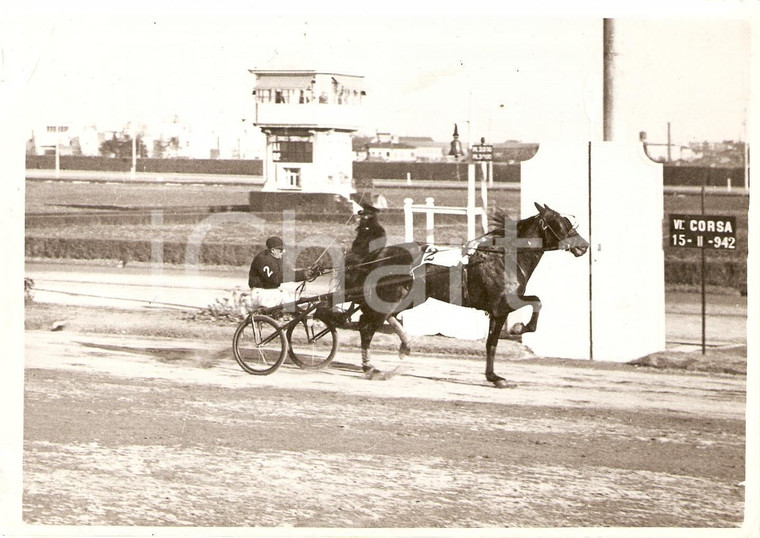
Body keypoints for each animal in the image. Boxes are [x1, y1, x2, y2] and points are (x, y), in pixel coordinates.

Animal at [336, 201, 588, 386]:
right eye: (561, 224)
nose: (584, 246)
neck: (502, 258)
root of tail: (379, 253)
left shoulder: (500, 307)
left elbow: (531, 306)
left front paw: (496, 369)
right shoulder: (501, 307)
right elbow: (501, 335)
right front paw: (514, 338)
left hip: (409, 298)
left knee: (378, 319)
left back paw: (403, 346)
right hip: (391, 296)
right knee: (367, 327)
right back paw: (370, 368)